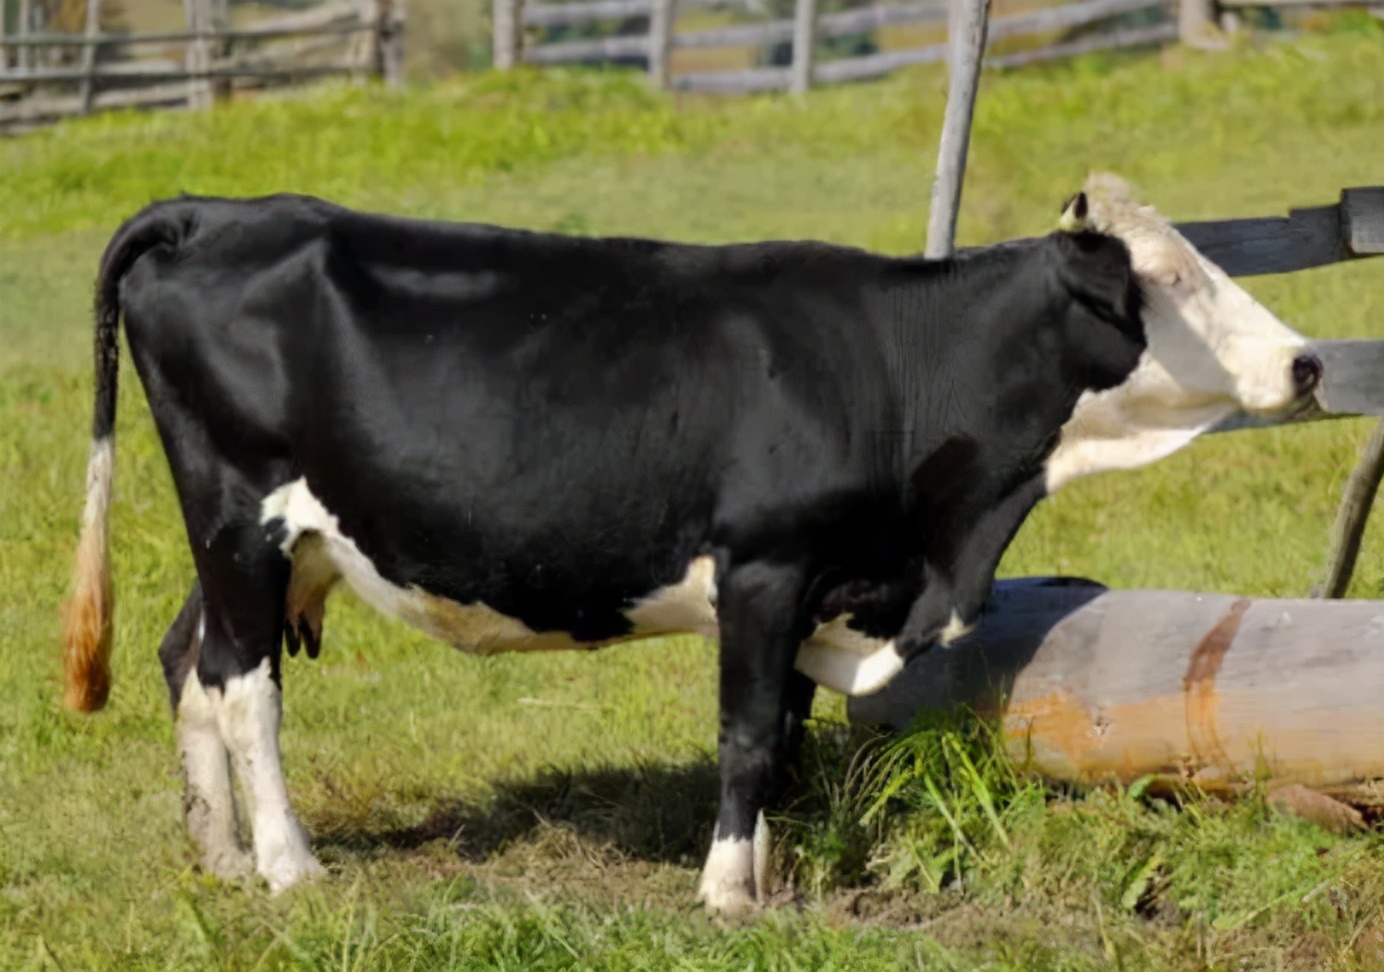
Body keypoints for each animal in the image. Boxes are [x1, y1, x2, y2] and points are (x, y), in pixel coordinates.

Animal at [62, 186, 1145, 919]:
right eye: (1152, 286)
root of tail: (211, 212)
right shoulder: (766, 567)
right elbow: (749, 734)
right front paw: (731, 894)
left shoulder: (808, 586)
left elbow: (783, 727)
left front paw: (768, 868)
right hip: (239, 510)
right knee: (244, 685)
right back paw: (289, 865)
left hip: (271, 540)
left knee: (189, 656)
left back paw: (223, 855)